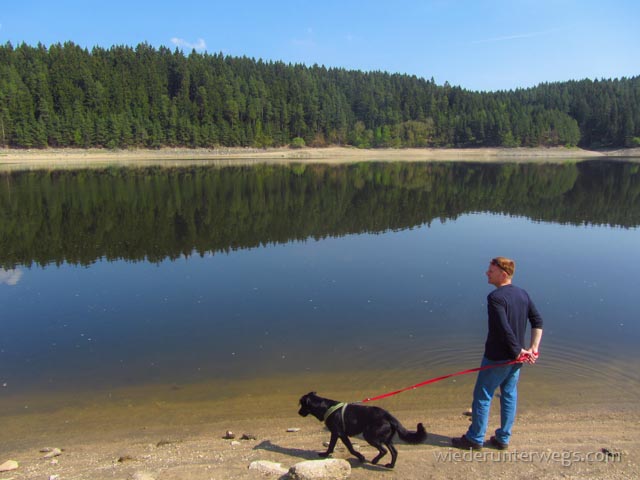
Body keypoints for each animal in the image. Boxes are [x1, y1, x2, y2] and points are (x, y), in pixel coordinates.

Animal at [298, 392, 428, 466]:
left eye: (302, 405)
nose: (298, 412)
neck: (325, 407)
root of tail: (389, 416)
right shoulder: (337, 434)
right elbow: (333, 446)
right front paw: (325, 454)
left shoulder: (339, 433)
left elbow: (348, 448)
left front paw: (360, 457)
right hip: (386, 438)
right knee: (394, 452)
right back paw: (390, 465)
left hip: (370, 436)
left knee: (384, 450)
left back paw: (375, 461)